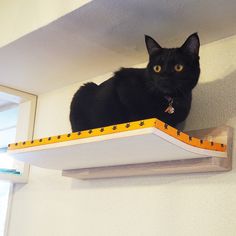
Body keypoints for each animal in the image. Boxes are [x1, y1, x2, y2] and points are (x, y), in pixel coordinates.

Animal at [69, 32, 200, 133]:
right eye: (157, 68)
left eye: (178, 67)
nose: (164, 77)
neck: (170, 99)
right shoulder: (123, 85)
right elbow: (134, 112)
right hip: (83, 90)